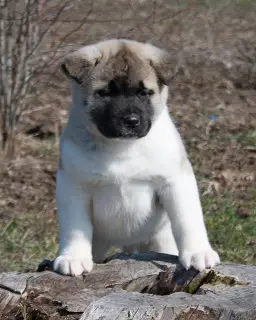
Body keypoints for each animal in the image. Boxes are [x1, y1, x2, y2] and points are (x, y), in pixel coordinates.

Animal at [54, 38, 220, 276]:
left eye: (144, 93)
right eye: (105, 93)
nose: (131, 121)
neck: (121, 147)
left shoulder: (176, 181)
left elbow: (188, 219)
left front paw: (199, 252)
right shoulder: (73, 186)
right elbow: (75, 228)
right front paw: (72, 257)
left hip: (160, 239)